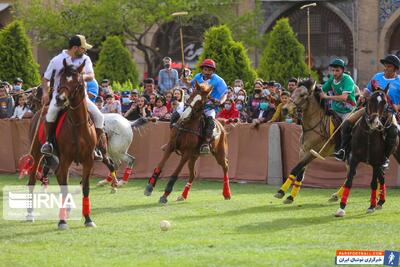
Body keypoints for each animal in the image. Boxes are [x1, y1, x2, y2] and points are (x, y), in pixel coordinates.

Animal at [27, 58, 108, 230]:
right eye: (62, 79)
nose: (60, 99)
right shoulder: (64, 159)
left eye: (78, 82)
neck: (77, 123)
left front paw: (88, 219)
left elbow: (85, 187)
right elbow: (63, 187)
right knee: (32, 180)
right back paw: (30, 214)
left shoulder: (88, 160)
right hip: (36, 153)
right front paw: (62, 221)